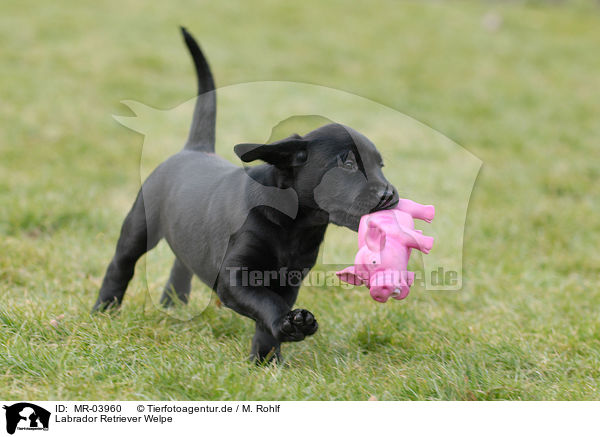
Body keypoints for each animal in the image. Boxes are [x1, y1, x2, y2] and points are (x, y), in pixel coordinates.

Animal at [92, 27, 398, 362]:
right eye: (348, 164)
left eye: (380, 165)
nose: (390, 195)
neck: (295, 225)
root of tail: (195, 149)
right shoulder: (233, 277)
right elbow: (266, 303)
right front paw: (290, 326)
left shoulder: (290, 279)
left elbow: (266, 318)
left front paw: (266, 361)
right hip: (139, 225)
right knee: (120, 265)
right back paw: (103, 311)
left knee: (181, 264)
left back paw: (172, 306)